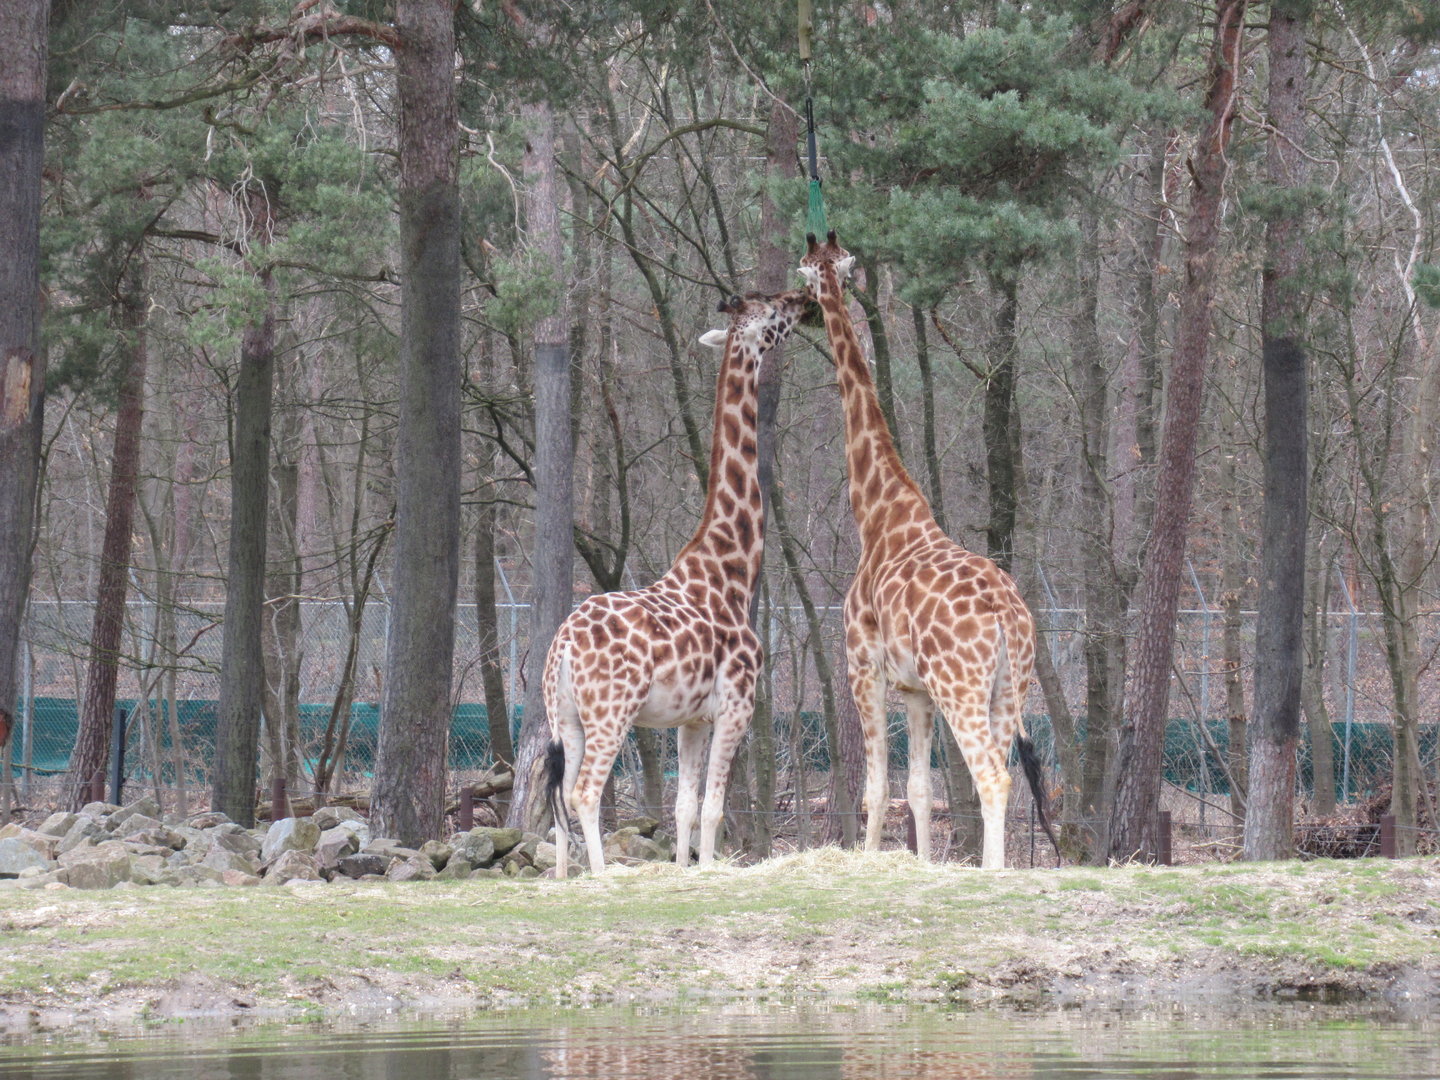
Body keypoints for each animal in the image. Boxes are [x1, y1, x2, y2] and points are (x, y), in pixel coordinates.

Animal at [542, 287, 813, 876]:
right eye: (770, 313)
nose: (804, 303)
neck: (731, 570)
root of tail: (564, 646)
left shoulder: (692, 719)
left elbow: (685, 806)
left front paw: (686, 868)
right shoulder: (737, 704)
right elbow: (713, 808)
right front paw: (707, 871)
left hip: (565, 717)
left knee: (559, 796)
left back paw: (564, 880)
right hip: (612, 711)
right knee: (585, 792)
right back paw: (600, 877)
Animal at [798, 231, 1056, 870]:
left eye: (806, 271)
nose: (805, 304)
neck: (879, 514)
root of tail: (1007, 614)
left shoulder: (862, 665)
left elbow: (875, 788)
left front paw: (869, 861)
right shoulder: (915, 689)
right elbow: (915, 787)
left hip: (960, 684)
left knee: (991, 776)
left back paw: (991, 875)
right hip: (1009, 685)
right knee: (1004, 775)